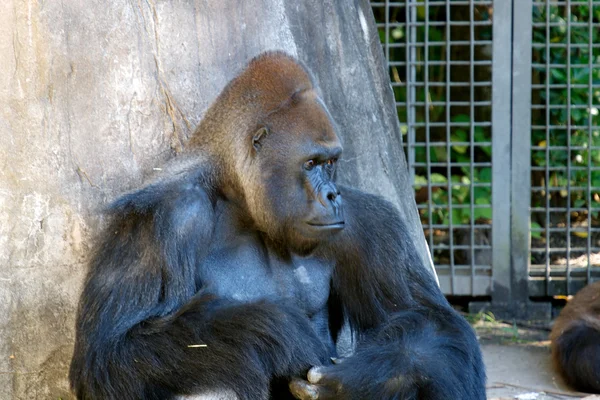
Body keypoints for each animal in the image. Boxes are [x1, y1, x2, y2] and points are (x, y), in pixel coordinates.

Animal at [68, 51, 486, 398]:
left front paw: (367, 378)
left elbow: (430, 320)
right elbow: (112, 352)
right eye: (311, 163)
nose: (332, 195)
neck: (237, 199)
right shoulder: (166, 216)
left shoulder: (367, 222)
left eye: (331, 162)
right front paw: (276, 330)